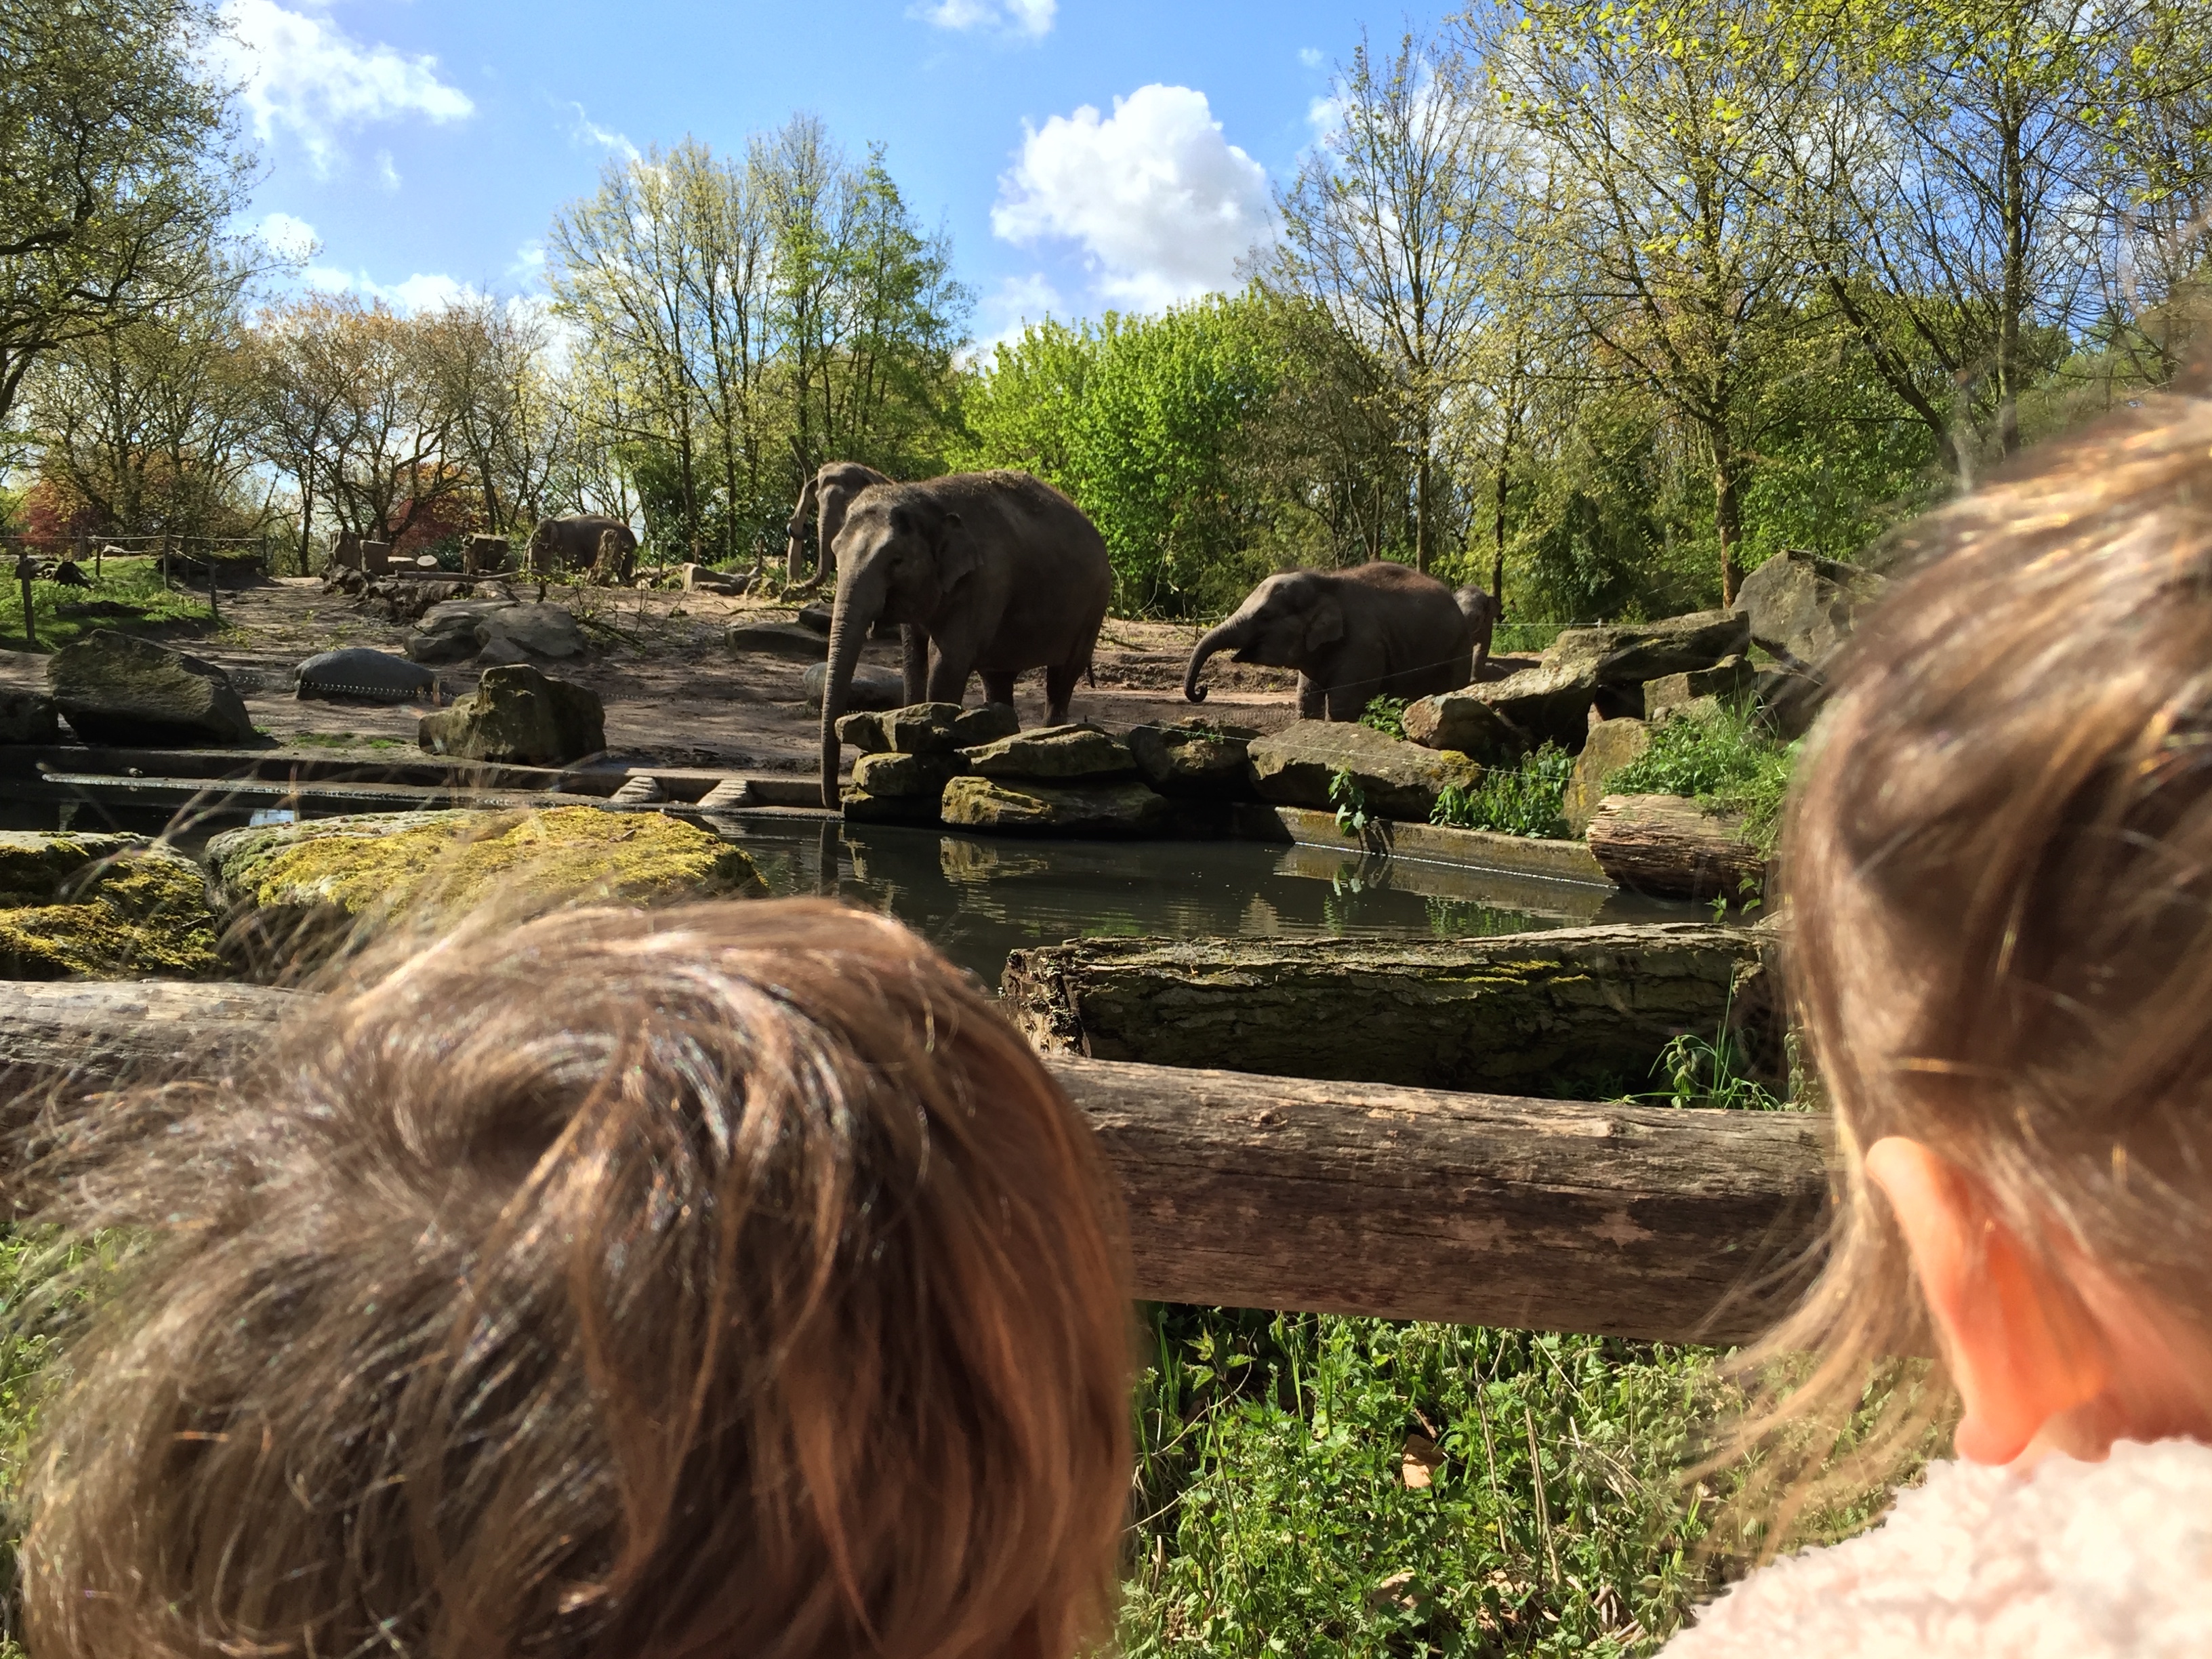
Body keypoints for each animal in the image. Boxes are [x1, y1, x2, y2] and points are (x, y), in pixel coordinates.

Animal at [823, 471, 1115, 809]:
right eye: (835, 551)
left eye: (896, 560)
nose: (834, 801)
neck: (927, 498)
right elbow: (913, 659)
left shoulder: (983, 581)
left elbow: (948, 660)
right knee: (998, 679)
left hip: (1092, 608)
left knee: (1063, 675)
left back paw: (1052, 736)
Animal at [1185, 566, 1477, 721]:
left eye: (1265, 616)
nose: (1202, 689)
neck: (1325, 581)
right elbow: (1306, 700)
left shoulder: (1363, 648)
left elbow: (1342, 707)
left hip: (1459, 651)